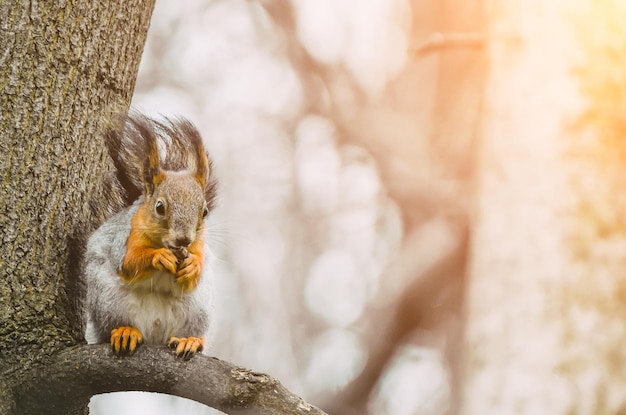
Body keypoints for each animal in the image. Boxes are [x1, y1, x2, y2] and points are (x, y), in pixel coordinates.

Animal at [83, 111, 217, 360]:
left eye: (204, 211)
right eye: (159, 207)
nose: (184, 239)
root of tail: (155, 333)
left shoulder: (199, 244)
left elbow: (197, 270)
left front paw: (193, 265)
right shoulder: (123, 239)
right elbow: (128, 263)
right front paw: (158, 257)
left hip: (198, 309)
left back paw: (189, 340)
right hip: (108, 302)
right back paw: (125, 332)